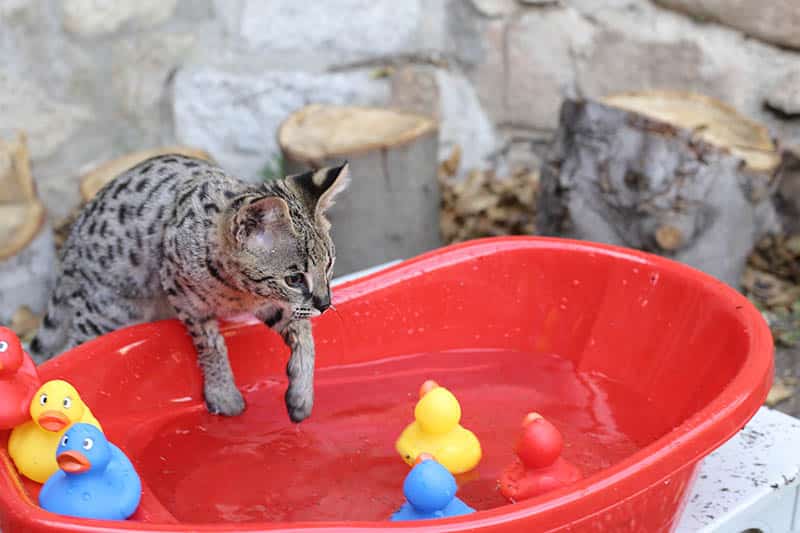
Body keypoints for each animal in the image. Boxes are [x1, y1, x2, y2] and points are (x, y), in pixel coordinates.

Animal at [29, 154, 348, 420]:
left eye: (329, 264)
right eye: (294, 278)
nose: (325, 304)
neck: (240, 291)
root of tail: (69, 246)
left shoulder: (272, 305)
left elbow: (304, 335)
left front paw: (301, 393)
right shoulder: (180, 291)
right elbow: (210, 343)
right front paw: (223, 393)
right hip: (108, 314)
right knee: (69, 351)